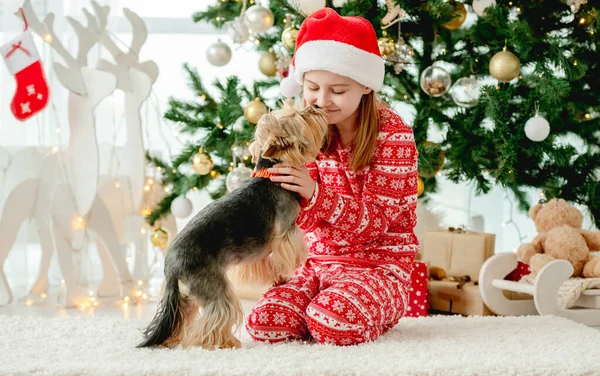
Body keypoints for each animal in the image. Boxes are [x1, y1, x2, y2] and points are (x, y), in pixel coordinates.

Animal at [137, 102, 328, 350]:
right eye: (299, 116)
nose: (315, 106)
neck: (270, 174)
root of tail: (169, 266)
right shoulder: (286, 233)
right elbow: (288, 254)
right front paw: (286, 275)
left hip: (186, 293)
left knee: (183, 315)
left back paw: (171, 340)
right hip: (209, 282)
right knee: (217, 314)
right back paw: (223, 342)